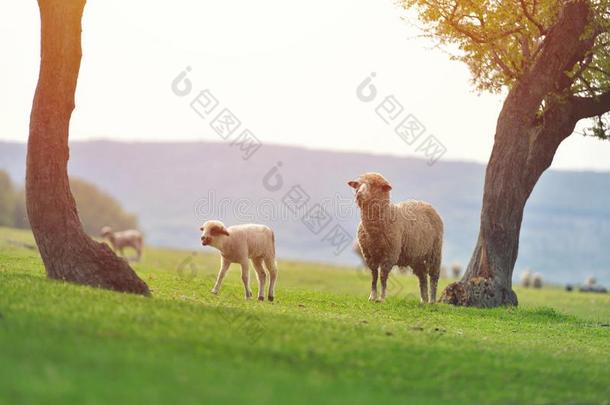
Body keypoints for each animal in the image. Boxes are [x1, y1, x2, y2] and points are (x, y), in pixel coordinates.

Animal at [346, 172, 442, 302]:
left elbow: (383, 276)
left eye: (374, 185)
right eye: (357, 185)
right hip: (417, 257)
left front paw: (382, 298)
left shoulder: (390, 255)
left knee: (434, 277)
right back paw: (424, 300)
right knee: (422, 277)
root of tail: (425, 203)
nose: (359, 194)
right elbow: (374, 276)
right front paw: (372, 297)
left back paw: (432, 300)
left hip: (435, 252)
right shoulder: (369, 255)